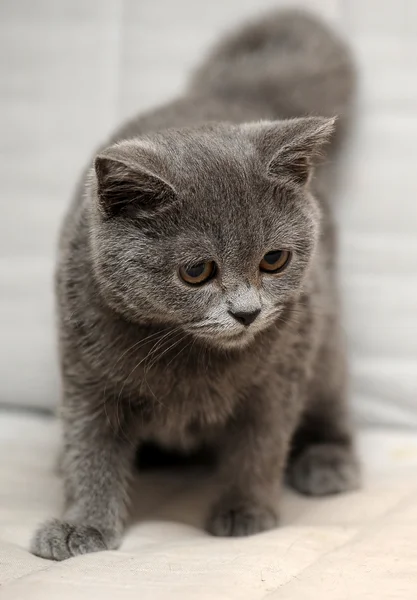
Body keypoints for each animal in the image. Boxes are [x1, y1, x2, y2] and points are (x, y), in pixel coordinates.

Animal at [31, 9, 358, 560]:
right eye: (196, 272)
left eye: (274, 260)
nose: (247, 313)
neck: (188, 357)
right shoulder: (86, 373)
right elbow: (90, 448)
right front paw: (81, 525)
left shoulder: (278, 377)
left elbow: (260, 445)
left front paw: (245, 510)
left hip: (326, 334)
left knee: (330, 396)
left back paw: (329, 459)